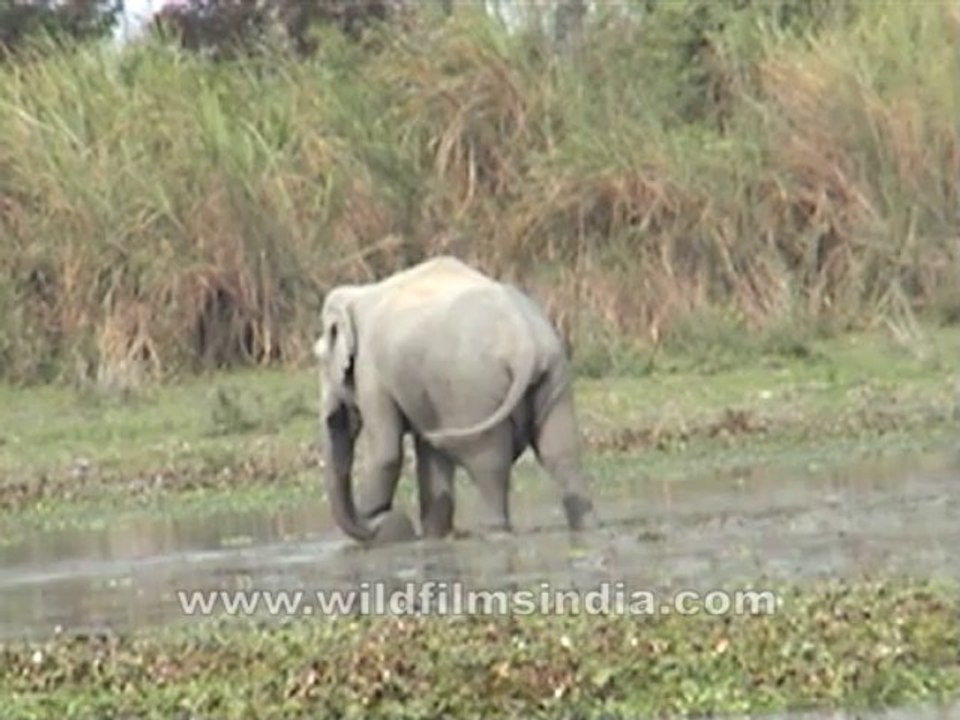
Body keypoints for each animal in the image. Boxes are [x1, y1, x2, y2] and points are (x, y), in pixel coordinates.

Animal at [313, 255, 597, 544]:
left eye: (320, 361)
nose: (390, 521)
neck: (357, 295)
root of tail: (525, 343)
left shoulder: (371, 370)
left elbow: (386, 452)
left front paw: (379, 523)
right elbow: (429, 456)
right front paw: (432, 536)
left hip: (474, 389)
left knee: (488, 462)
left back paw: (495, 533)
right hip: (554, 378)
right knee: (561, 452)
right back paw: (585, 526)